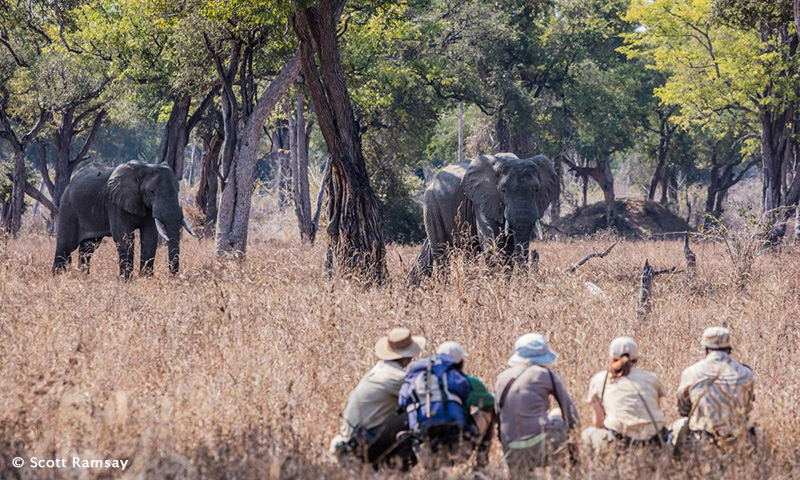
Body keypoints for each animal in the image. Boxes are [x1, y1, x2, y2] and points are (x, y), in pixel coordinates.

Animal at [53, 160, 195, 278]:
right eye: (151, 191)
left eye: (178, 190)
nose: (172, 277)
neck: (145, 167)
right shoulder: (114, 202)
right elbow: (124, 236)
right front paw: (126, 280)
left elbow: (150, 237)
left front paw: (145, 278)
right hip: (68, 206)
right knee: (66, 245)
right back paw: (58, 276)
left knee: (88, 248)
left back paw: (83, 277)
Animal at [410, 154, 560, 282]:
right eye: (503, 191)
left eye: (536, 190)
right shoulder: (482, 199)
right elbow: (491, 242)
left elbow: (509, 249)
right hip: (431, 204)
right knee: (441, 251)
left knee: (470, 252)